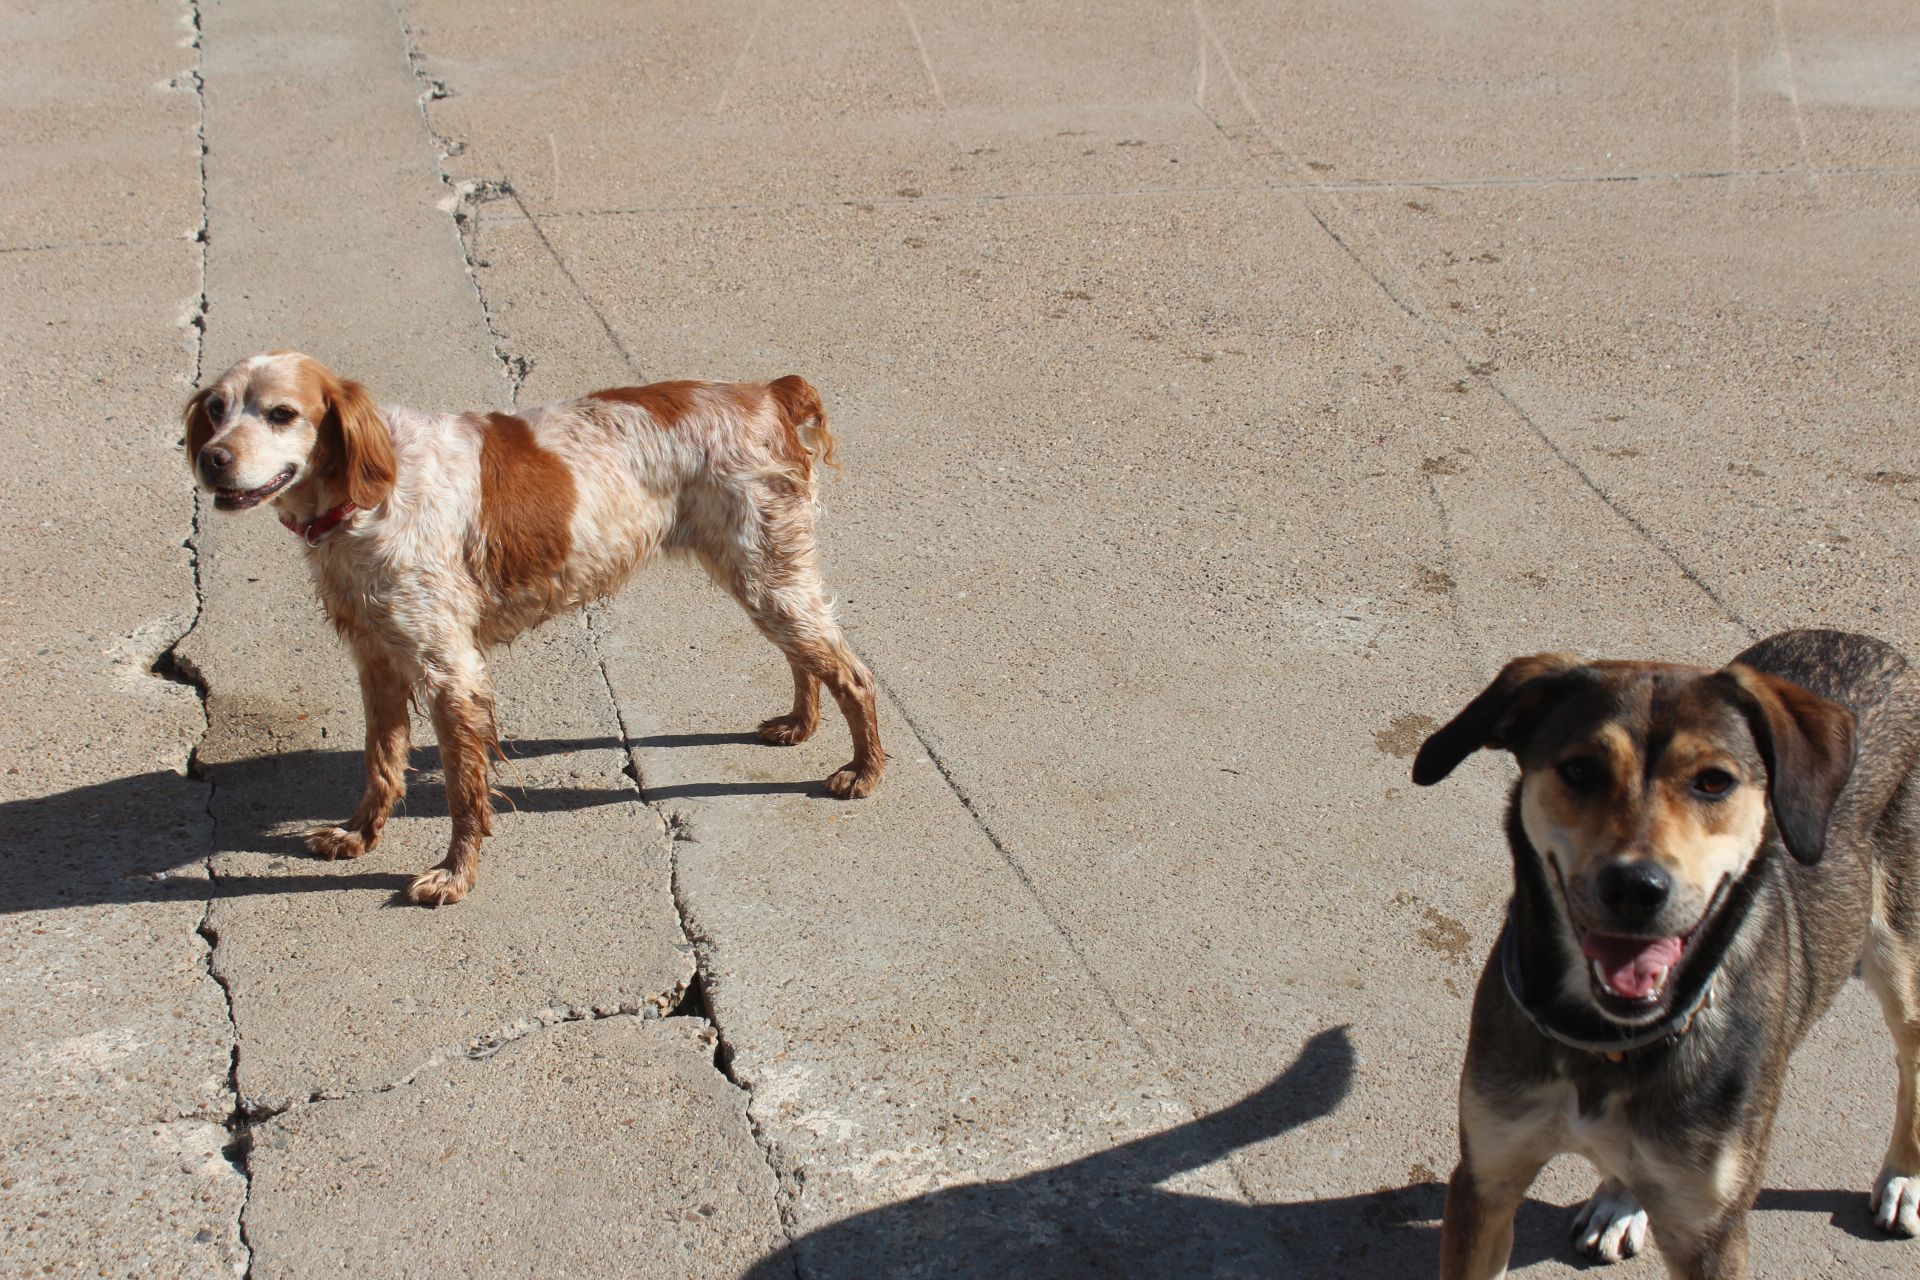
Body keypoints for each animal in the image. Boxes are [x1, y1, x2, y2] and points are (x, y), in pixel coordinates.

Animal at [180, 355, 883, 905]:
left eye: (281, 414)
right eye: (216, 408)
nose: (212, 459)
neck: (370, 495)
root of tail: (767, 393)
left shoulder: (450, 669)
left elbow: (465, 792)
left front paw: (453, 875)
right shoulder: (377, 658)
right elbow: (381, 766)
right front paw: (358, 836)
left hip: (768, 577)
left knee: (854, 674)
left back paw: (863, 771)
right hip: (761, 578)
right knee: (808, 661)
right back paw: (799, 725)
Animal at [1413, 633, 1920, 1280]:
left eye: (1714, 782)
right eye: (1580, 769)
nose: (1635, 887)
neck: (1607, 1045)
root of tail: (1867, 643)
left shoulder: (1711, 1234)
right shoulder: (1485, 1178)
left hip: (1902, 962)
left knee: (1911, 1061)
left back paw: (1904, 1177)